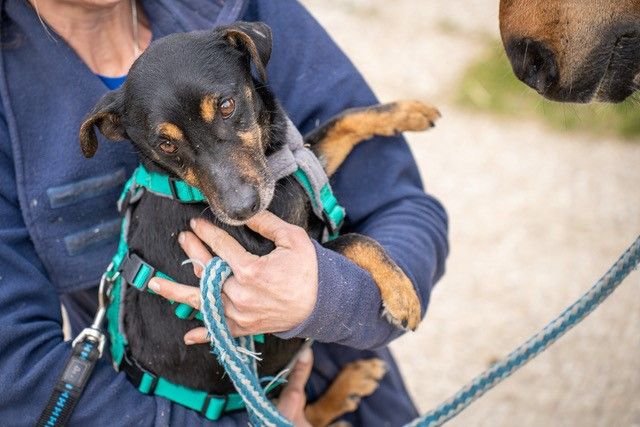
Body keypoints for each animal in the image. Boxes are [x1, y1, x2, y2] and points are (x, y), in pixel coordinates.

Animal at [79, 21, 440, 426]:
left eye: (226, 105)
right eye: (166, 144)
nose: (242, 209)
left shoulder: (296, 168)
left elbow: (342, 121)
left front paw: (407, 111)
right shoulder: (281, 259)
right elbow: (352, 241)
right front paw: (401, 293)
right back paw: (348, 386)